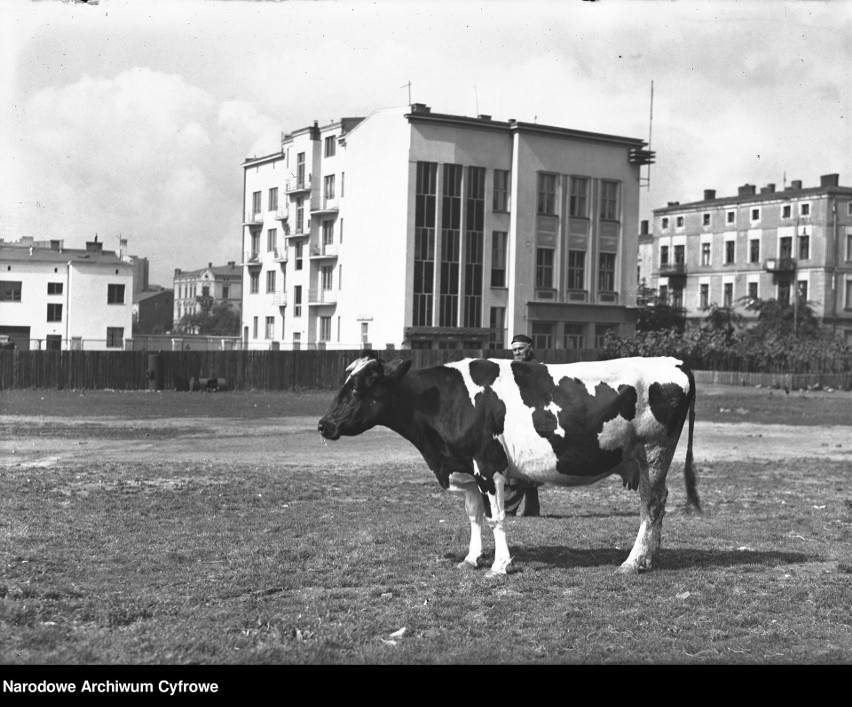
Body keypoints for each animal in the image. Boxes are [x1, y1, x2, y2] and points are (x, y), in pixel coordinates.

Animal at [320, 352, 700, 580]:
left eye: (358, 389)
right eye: (344, 384)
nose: (324, 424)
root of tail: (674, 361)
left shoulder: (489, 466)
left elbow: (497, 518)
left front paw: (500, 565)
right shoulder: (467, 469)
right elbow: (474, 517)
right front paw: (472, 558)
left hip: (654, 451)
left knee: (652, 505)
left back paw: (633, 561)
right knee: (656, 506)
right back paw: (649, 557)